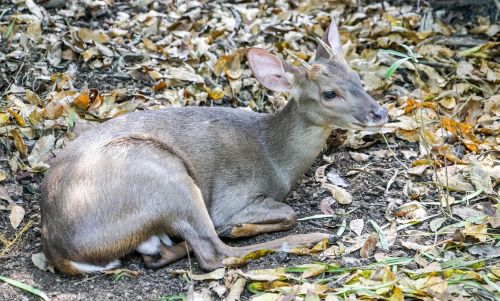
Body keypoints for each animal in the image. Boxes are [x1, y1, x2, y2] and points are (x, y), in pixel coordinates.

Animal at [41, 21, 388, 274]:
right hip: (164, 175)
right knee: (213, 253)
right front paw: (240, 225)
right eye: (329, 93)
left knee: (159, 254)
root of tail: (59, 250)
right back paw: (310, 238)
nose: (380, 112)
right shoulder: (232, 195)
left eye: (357, 77)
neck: (275, 159)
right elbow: (288, 212)